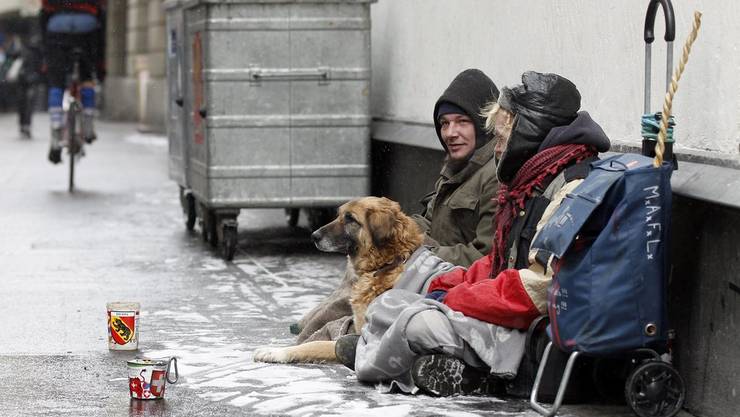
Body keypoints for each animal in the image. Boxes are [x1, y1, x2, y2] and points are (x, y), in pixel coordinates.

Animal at [251, 197, 422, 362]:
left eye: (350, 218)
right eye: (338, 214)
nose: (313, 236)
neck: (385, 264)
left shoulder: (366, 339)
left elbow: (315, 344)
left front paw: (276, 352)